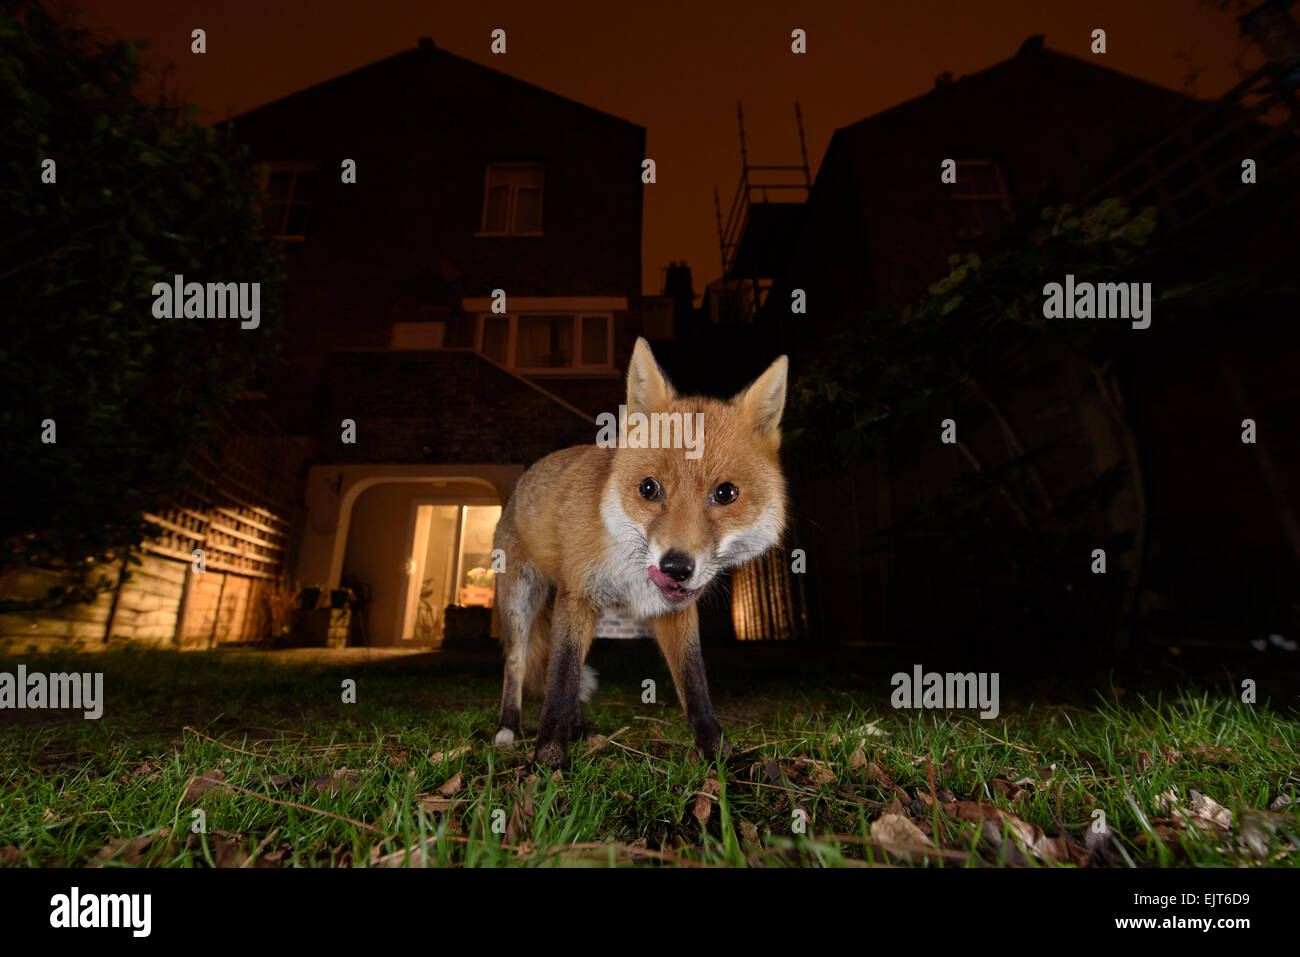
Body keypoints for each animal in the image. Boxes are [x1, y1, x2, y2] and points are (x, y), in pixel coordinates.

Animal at [488, 338, 785, 769]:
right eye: (649, 488)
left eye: (726, 493)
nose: (676, 567)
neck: (632, 571)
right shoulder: (578, 596)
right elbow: (560, 678)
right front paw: (548, 759)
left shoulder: (674, 612)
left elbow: (694, 685)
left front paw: (719, 755)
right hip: (521, 601)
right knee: (517, 664)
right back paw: (509, 727)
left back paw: (581, 728)